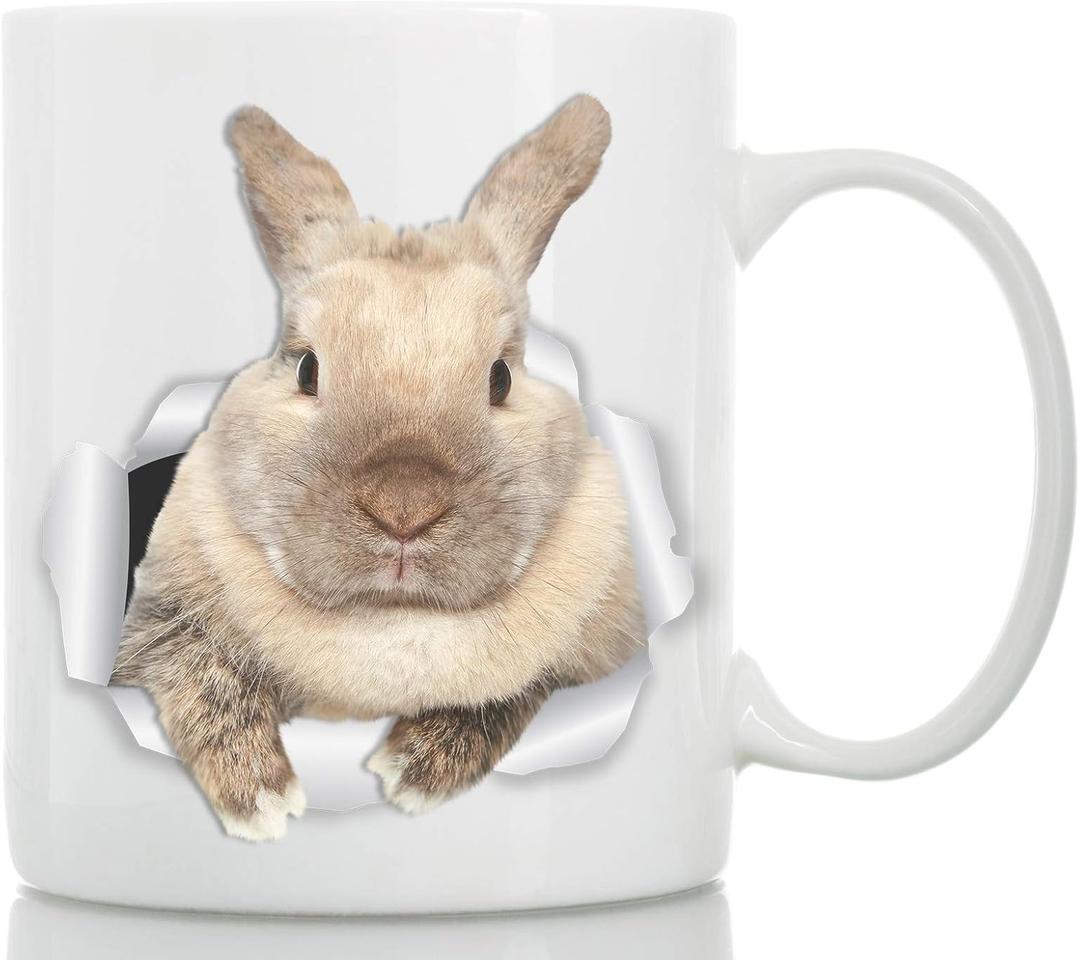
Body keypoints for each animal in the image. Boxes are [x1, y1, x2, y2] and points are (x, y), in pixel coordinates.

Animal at [111, 95, 644, 842]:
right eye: (306, 369)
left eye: (501, 378)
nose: (403, 510)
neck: (390, 620)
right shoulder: (158, 631)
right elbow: (204, 679)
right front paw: (263, 803)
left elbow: (516, 690)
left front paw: (411, 772)